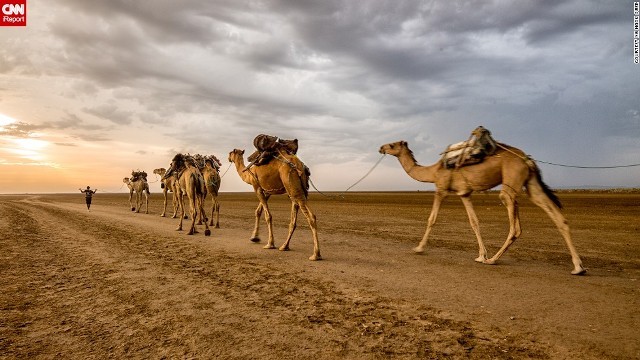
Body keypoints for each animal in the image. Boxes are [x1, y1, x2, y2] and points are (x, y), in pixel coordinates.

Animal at [380, 139, 584, 274]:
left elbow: (432, 219)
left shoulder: (441, 189)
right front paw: (481, 255)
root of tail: (528, 159)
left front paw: (419, 248)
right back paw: (578, 267)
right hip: (532, 183)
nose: (380, 147)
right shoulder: (464, 193)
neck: (433, 171)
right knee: (559, 217)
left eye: (392, 144)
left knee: (515, 227)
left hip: (510, 184)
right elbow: (474, 222)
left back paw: (493, 260)